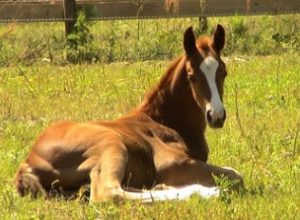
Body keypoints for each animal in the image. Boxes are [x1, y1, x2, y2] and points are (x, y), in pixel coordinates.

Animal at [14, 24, 244, 202]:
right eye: (192, 75)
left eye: (224, 72)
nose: (216, 116)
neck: (164, 122)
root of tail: (28, 160)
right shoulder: (173, 164)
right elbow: (235, 175)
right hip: (110, 143)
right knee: (109, 193)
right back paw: (204, 191)